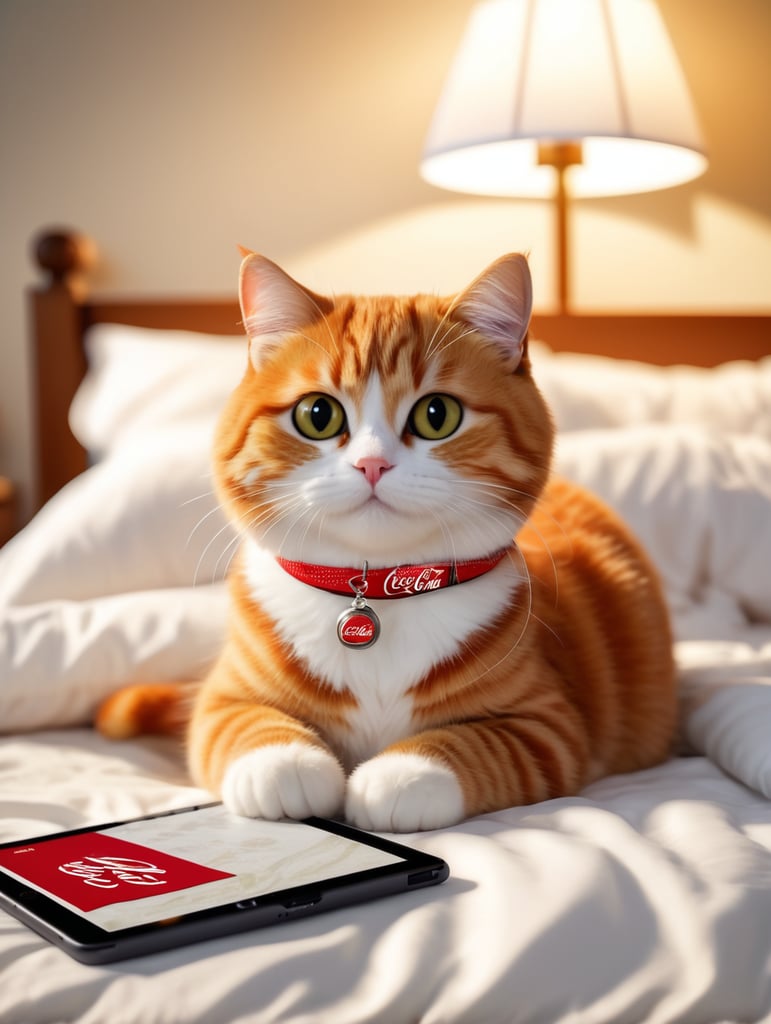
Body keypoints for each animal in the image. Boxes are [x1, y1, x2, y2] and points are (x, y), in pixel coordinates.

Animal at [94, 253, 671, 831]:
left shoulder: (551, 725)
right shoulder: (224, 696)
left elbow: (479, 745)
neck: (379, 587)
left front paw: (398, 775)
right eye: (318, 415)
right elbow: (238, 727)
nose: (372, 464)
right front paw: (287, 764)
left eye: (437, 414)